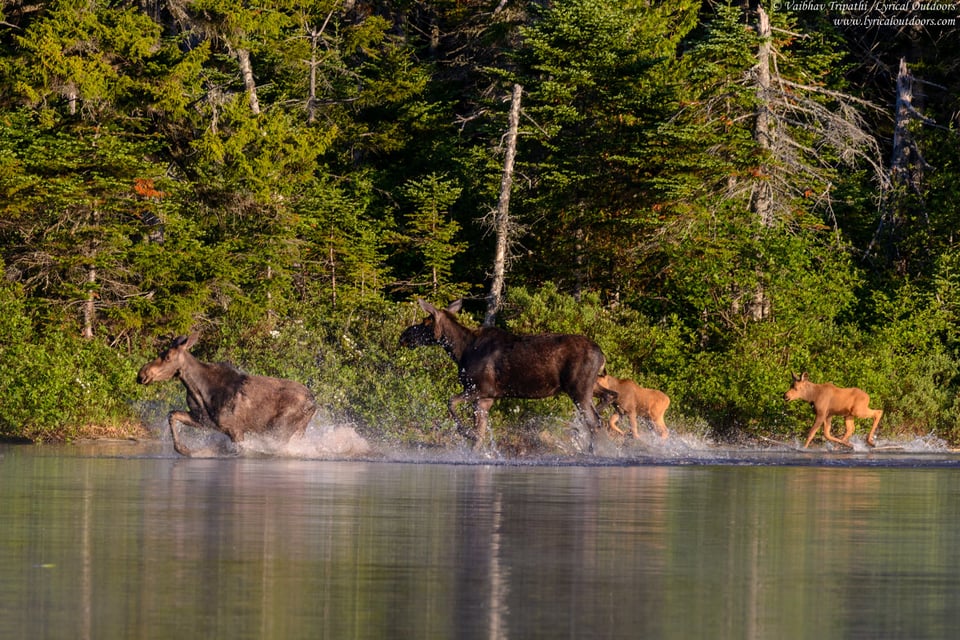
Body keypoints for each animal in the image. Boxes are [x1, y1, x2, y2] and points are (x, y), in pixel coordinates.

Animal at [137, 336, 316, 456]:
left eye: (167, 357)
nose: (142, 374)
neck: (199, 391)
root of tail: (314, 403)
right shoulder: (204, 420)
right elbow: (172, 414)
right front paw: (184, 449)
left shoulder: (235, 429)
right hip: (297, 430)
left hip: (280, 428)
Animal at [400, 298, 612, 452]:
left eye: (425, 322)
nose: (404, 336)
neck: (459, 352)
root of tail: (602, 354)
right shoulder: (487, 397)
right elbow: (480, 432)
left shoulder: (480, 388)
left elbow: (451, 402)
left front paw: (466, 433)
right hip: (591, 385)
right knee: (608, 399)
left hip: (578, 388)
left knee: (595, 422)